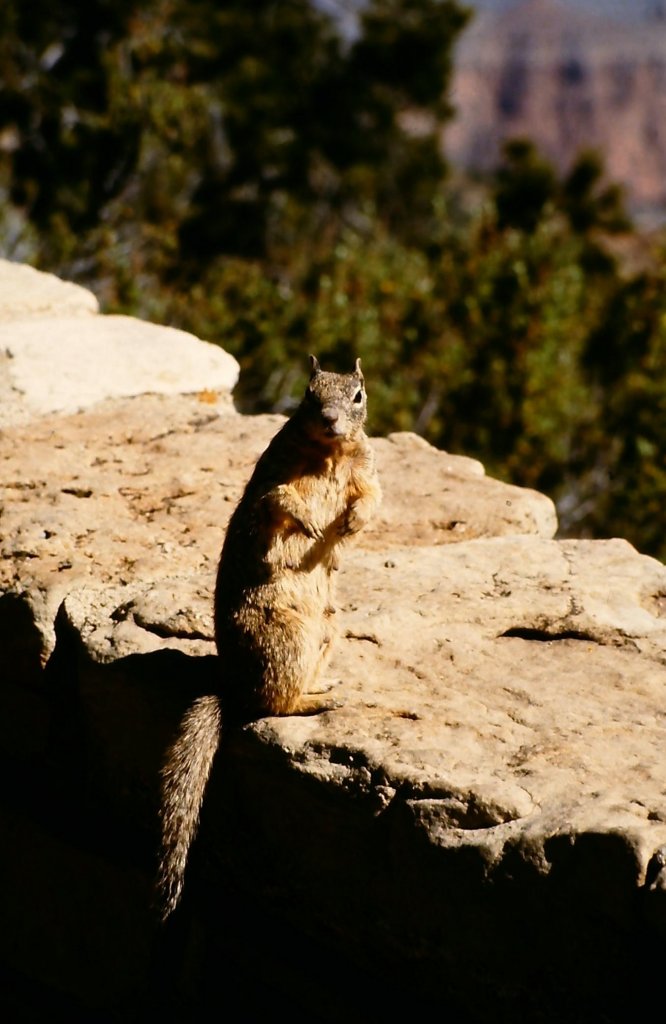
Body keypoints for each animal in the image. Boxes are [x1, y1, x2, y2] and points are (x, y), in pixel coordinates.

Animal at [155, 354, 381, 921]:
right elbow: (277, 500)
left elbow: (372, 500)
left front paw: (348, 525)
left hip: (327, 631)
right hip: (286, 639)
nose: (331, 420)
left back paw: (323, 687)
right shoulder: (271, 477)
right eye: (309, 393)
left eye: (358, 395)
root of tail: (232, 687)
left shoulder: (368, 471)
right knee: (271, 705)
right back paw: (313, 701)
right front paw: (309, 525)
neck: (329, 454)